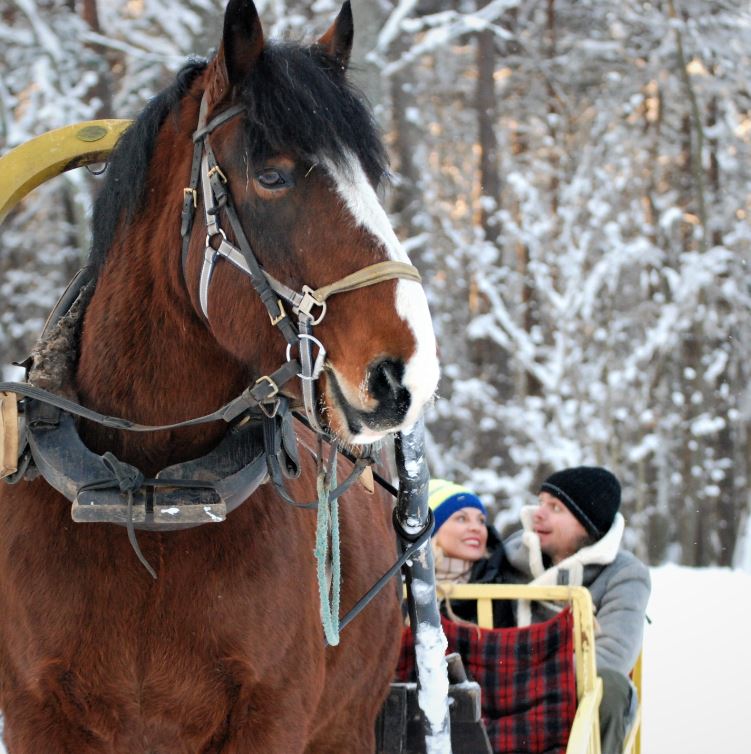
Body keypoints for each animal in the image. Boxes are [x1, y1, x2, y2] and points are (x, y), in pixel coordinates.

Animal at [0, 2, 440, 748]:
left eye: (369, 179)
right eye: (271, 174)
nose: (406, 371)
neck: (151, 496)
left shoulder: (274, 714)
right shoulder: (35, 712)